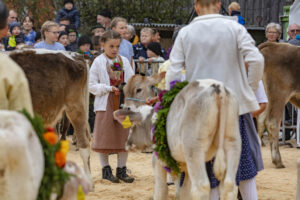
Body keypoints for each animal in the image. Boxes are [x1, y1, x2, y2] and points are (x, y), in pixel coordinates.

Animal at [113, 74, 243, 199]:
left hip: (194, 150)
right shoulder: (182, 165)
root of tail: (217, 87)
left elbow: (161, 191)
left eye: (133, 126)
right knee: (229, 186)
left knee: (200, 187)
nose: (127, 144)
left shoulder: (159, 161)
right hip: (233, 142)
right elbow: (183, 192)